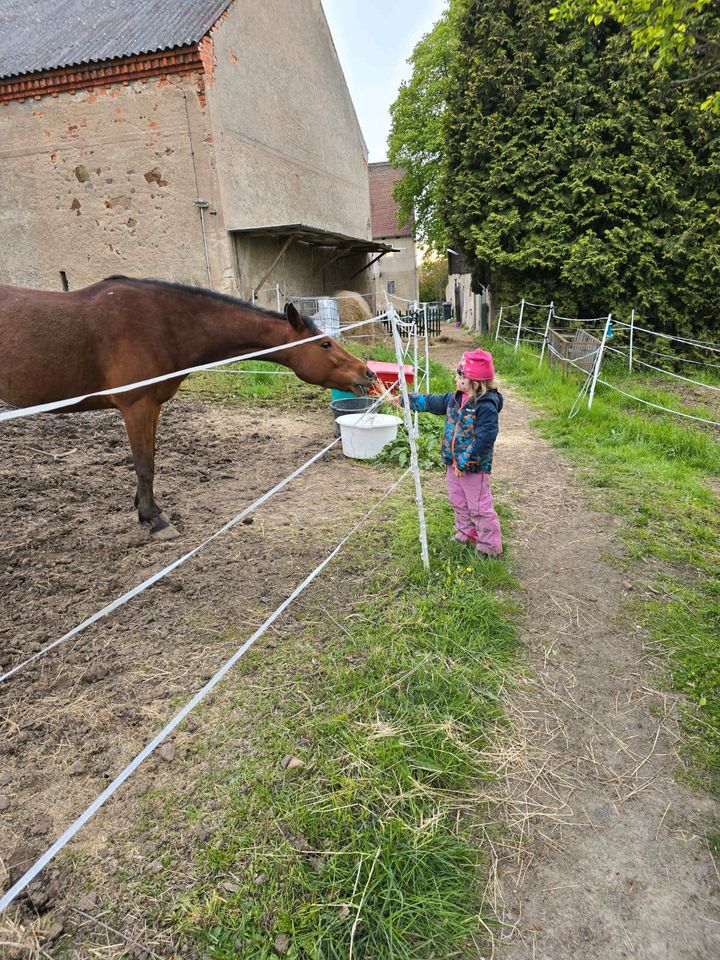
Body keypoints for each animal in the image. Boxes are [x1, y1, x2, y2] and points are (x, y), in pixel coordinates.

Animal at [1, 278, 376, 540]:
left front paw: (142, 509)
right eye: (325, 344)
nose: (368, 373)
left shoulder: (152, 408)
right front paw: (155, 520)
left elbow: (149, 459)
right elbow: (144, 465)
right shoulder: (137, 407)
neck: (162, 325)